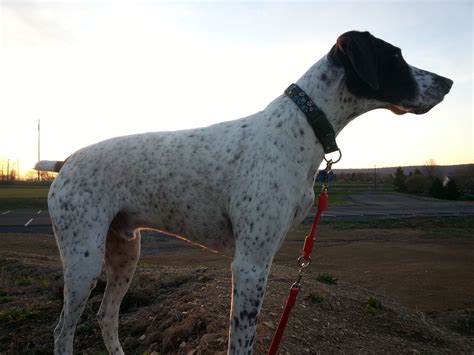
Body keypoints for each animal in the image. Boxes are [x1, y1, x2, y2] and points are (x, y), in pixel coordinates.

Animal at [37, 31, 452, 355]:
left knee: (106, 316)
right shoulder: (250, 264)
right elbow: (242, 341)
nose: (447, 83)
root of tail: (65, 162)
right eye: (395, 55)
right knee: (62, 331)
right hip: (83, 260)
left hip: (125, 253)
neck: (301, 126)